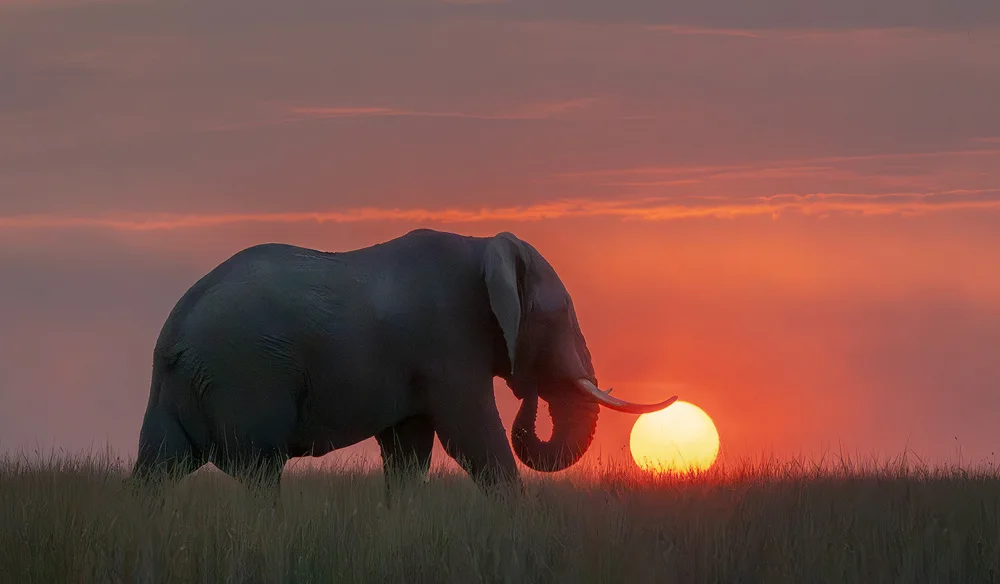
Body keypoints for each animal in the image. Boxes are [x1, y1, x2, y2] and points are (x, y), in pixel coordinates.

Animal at [130, 228, 677, 501]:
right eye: (561, 314)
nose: (531, 393)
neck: (484, 247)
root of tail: (174, 333)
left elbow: (409, 449)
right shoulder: (449, 341)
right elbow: (472, 435)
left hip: (178, 390)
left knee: (158, 468)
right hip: (247, 378)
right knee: (260, 472)